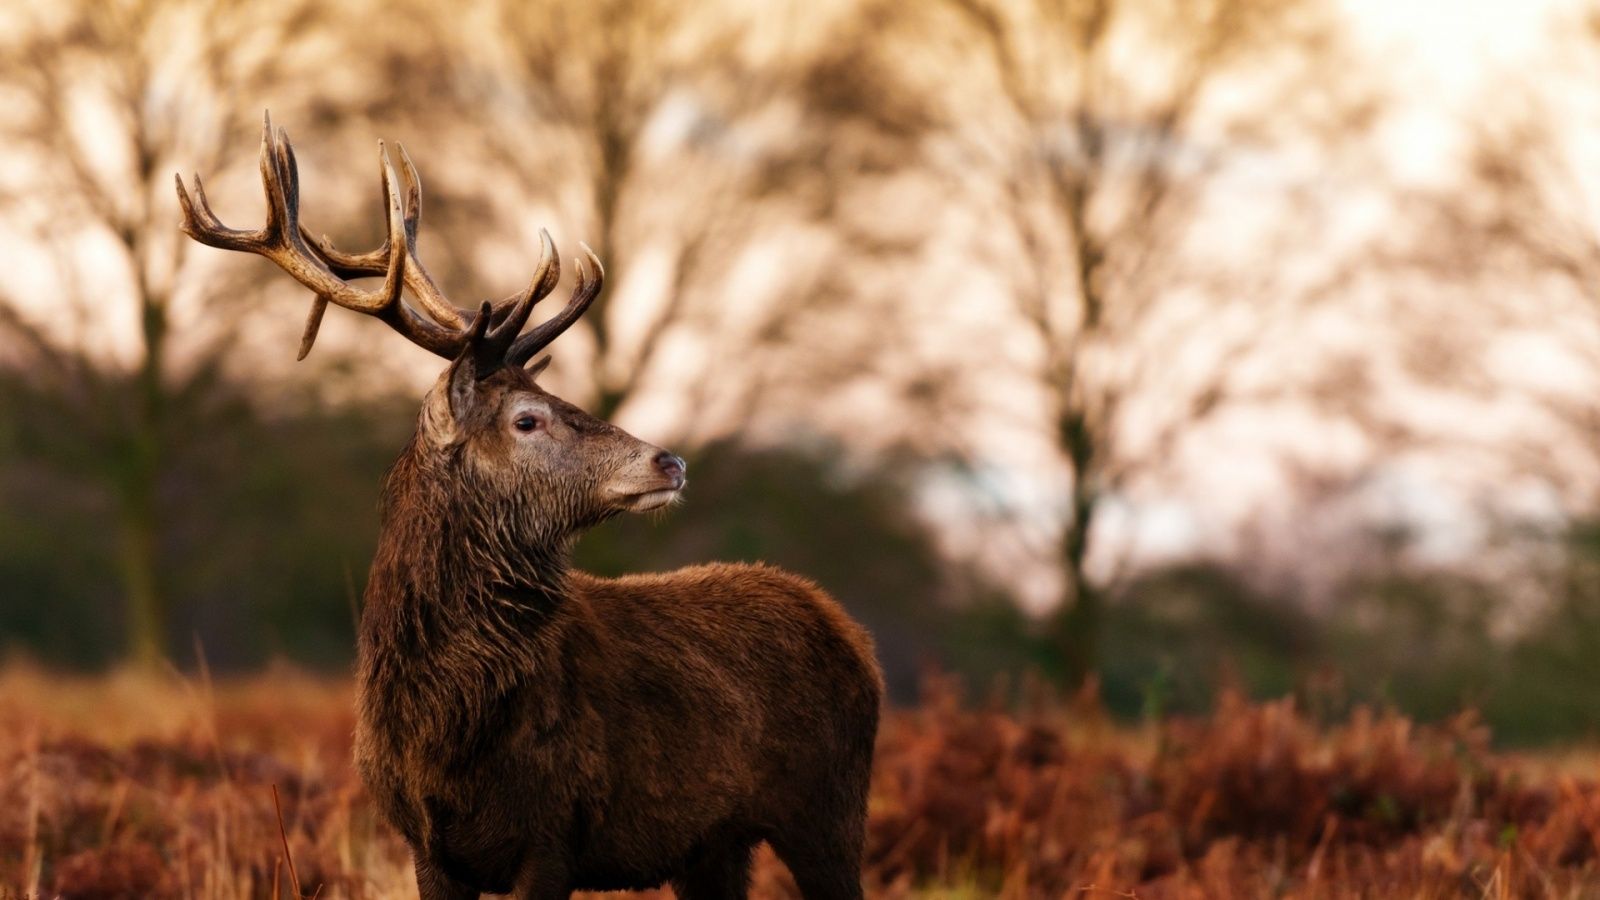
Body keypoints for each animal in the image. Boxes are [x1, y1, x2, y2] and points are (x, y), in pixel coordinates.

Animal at [180, 112, 883, 896]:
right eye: (527, 418)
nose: (669, 460)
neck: (448, 737)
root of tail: (851, 634)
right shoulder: (426, 843)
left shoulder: (554, 835)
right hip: (715, 845)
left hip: (830, 811)